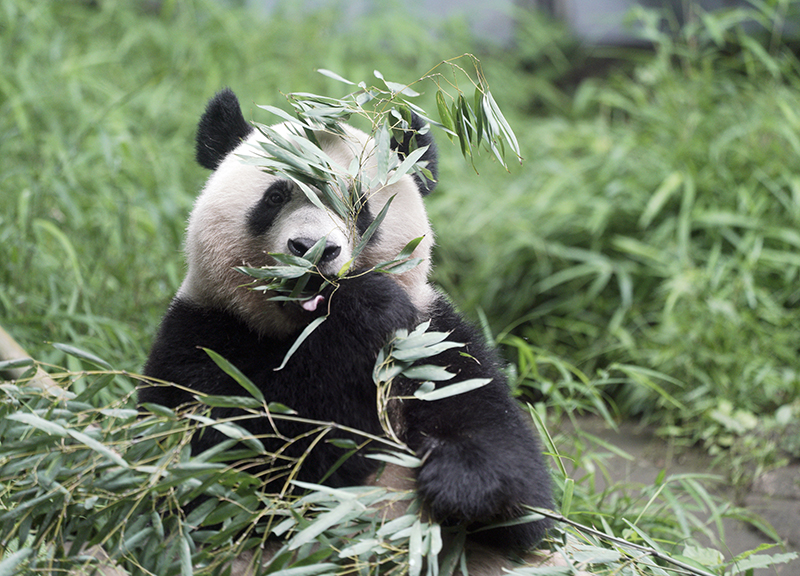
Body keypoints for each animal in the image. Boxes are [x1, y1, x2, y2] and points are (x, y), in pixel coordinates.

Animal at [139, 88, 553, 573]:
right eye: (276, 196)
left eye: (360, 205)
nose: (312, 250)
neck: (301, 329)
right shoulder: (205, 334)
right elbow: (244, 464)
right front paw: (364, 310)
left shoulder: (435, 337)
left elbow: (511, 468)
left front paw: (460, 483)